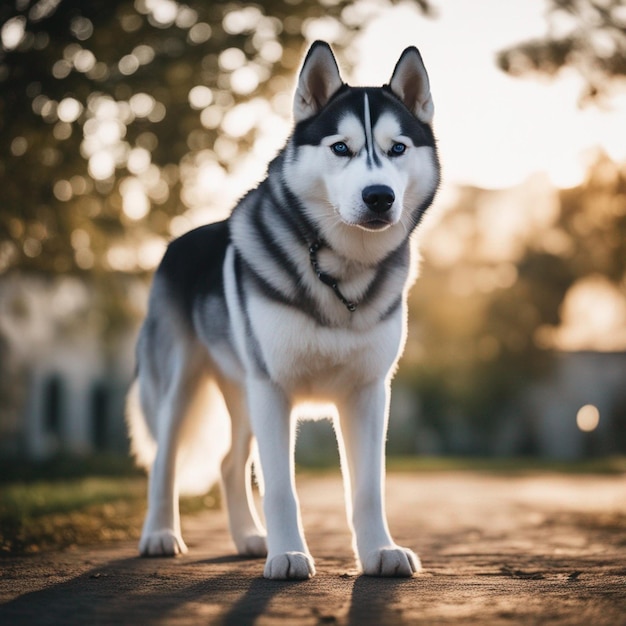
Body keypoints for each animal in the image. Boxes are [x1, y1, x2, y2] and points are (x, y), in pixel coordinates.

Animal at [127, 37, 438, 576]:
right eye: (341, 148)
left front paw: (379, 551)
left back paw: (249, 537)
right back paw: (161, 534)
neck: (342, 272)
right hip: (181, 384)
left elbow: (368, 488)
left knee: (229, 463)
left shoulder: (368, 392)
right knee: (165, 460)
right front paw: (289, 553)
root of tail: (174, 244)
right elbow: (280, 488)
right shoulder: (273, 389)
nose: (379, 196)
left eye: (397, 148)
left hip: (242, 391)